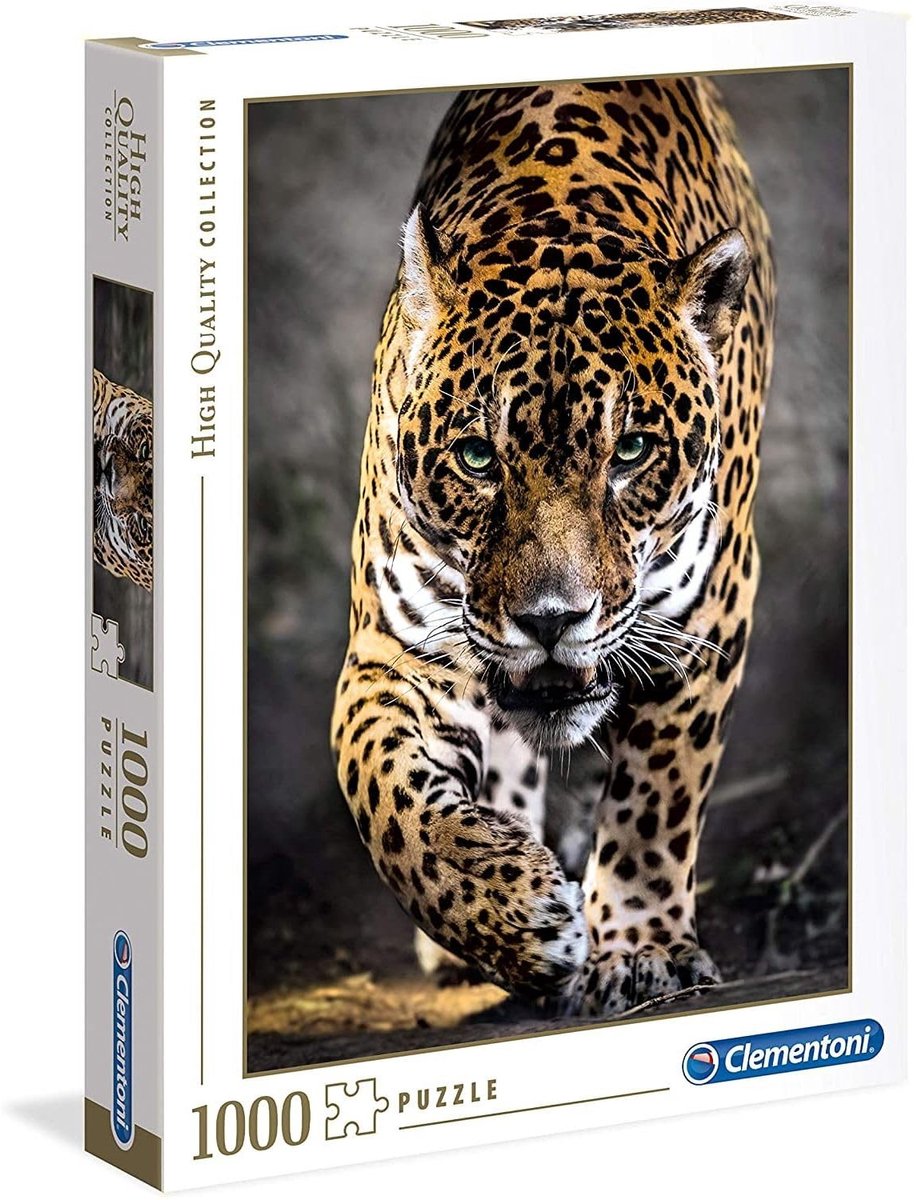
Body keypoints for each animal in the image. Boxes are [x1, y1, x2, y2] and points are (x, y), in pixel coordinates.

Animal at [332, 76, 775, 1016]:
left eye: (632, 452)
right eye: (476, 457)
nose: (549, 620)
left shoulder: (707, 618)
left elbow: (656, 796)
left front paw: (638, 949)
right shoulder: (397, 649)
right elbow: (383, 793)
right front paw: (512, 914)